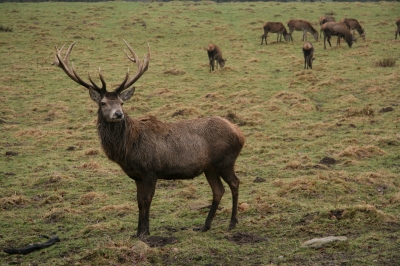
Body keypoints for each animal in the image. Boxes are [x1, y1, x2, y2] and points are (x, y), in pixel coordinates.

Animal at [52, 40, 244, 239]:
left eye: (121, 103)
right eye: (103, 103)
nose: (118, 114)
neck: (127, 148)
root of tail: (240, 133)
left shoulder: (151, 170)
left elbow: (146, 200)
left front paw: (145, 231)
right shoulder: (137, 175)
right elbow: (138, 201)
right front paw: (137, 231)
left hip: (225, 161)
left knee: (235, 183)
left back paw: (232, 223)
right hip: (209, 167)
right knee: (218, 190)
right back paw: (205, 226)